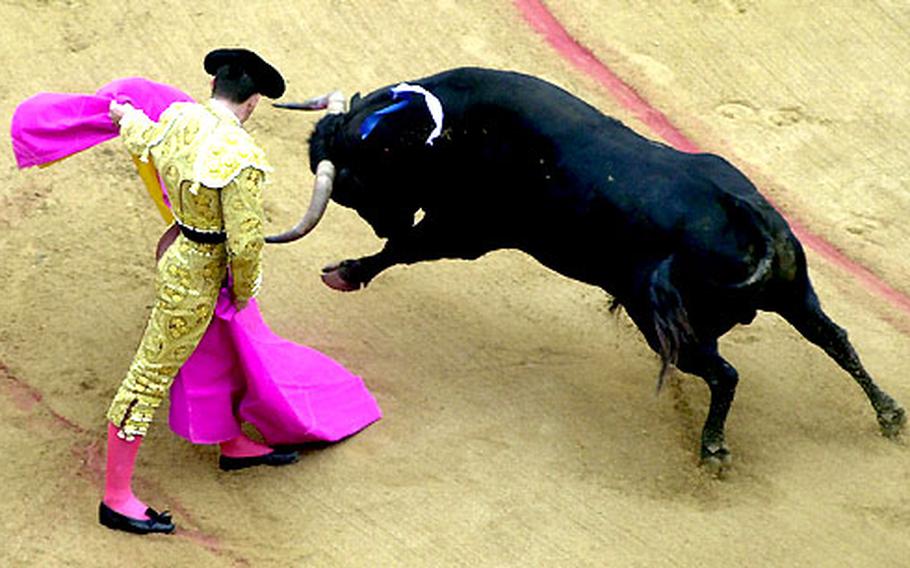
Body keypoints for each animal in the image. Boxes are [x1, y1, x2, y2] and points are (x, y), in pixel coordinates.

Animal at [268, 66, 908, 468]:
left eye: (353, 184)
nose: (386, 222)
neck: (441, 131)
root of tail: (741, 211)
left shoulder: (469, 231)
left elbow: (404, 252)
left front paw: (347, 270)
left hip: (663, 322)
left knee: (726, 375)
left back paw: (712, 449)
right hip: (794, 292)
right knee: (834, 338)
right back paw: (889, 415)